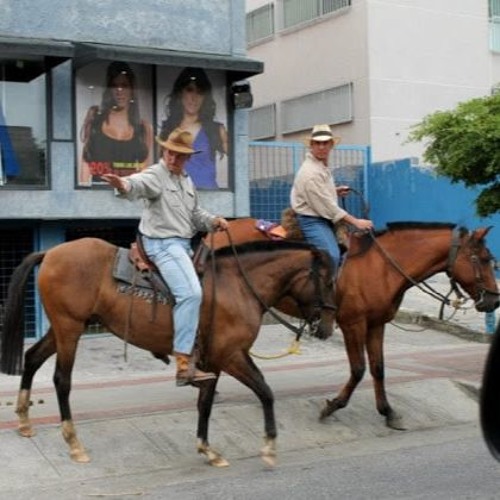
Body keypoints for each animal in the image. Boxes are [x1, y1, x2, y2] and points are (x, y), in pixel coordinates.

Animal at [1, 238, 336, 464]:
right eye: (328, 280)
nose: (327, 326)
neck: (237, 285)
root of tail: (51, 252)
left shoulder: (212, 362)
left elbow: (205, 404)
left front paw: (207, 449)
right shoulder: (231, 356)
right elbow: (265, 391)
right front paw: (268, 445)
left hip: (64, 327)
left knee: (32, 358)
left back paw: (24, 421)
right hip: (69, 328)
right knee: (62, 380)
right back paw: (73, 443)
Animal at [205, 219, 498, 430]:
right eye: (484, 259)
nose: (494, 300)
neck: (381, 266)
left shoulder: (377, 324)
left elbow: (378, 368)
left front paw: (388, 412)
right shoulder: (353, 324)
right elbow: (358, 369)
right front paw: (333, 406)